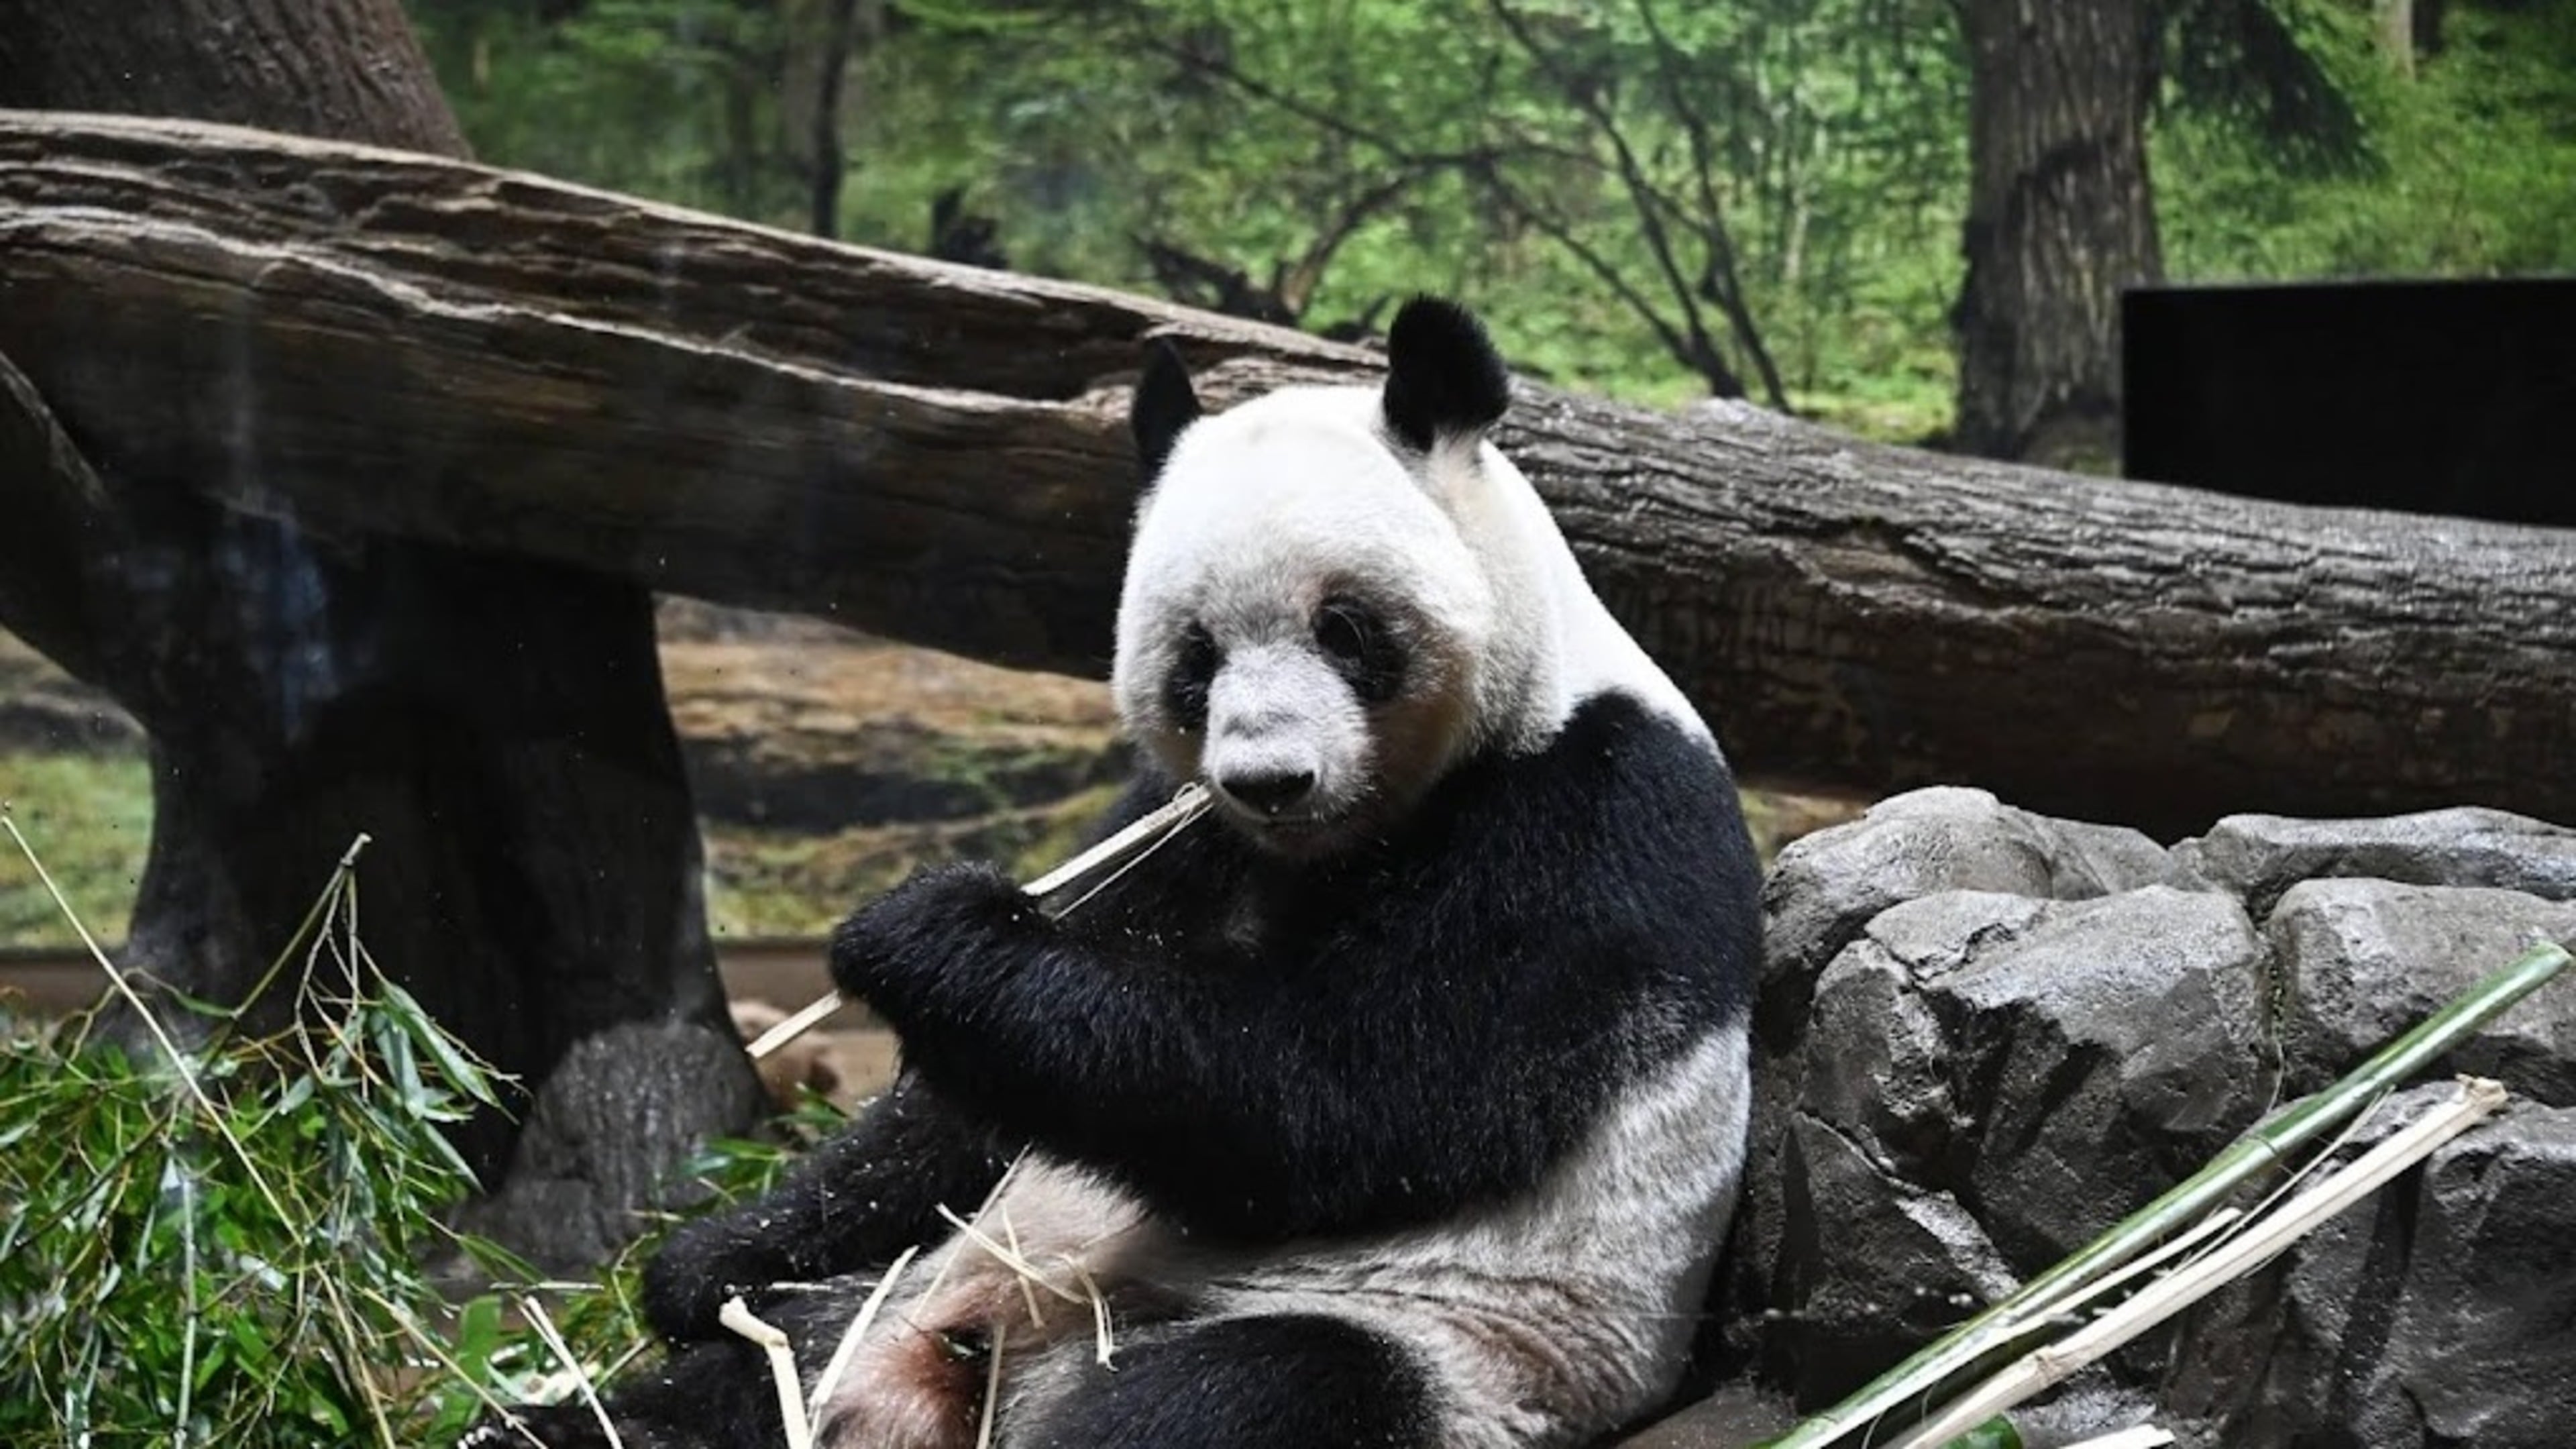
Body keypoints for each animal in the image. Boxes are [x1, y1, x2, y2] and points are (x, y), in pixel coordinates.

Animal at [478, 298, 1759, 1449]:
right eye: (1197, 655)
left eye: (1346, 630)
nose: (1269, 778)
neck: (1335, 847)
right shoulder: (1175, 830)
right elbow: (963, 1117)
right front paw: (703, 1263)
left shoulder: (1586, 821)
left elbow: (1339, 1096)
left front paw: (930, 934)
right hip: (888, 1302)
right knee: (716, 1393)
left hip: (1445, 1345)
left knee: (1241, 1394)